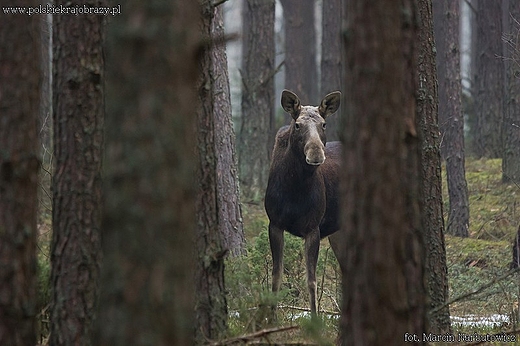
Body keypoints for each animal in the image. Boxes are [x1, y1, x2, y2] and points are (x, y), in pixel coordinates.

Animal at [266, 90, 344, 318]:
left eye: (324, 124)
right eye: (298, 125)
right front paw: (270, 319)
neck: (295, 188)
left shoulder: (313, 228)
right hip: (339, 233)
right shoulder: (274, 223)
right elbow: (276, 276)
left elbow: (311, 281)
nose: (316, 154)